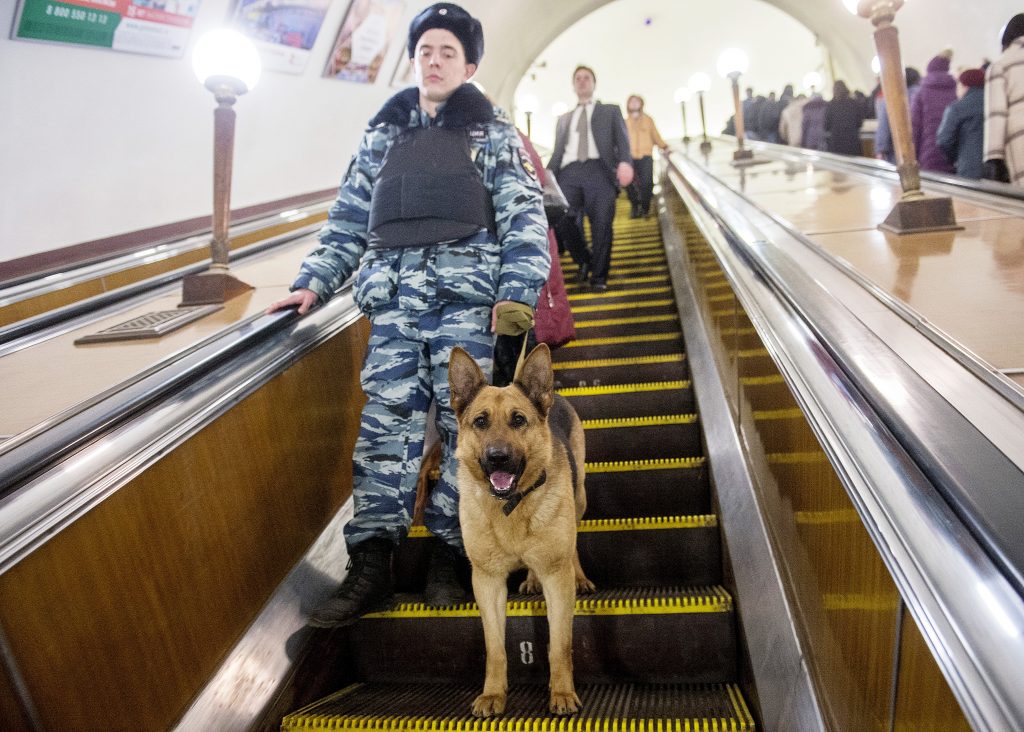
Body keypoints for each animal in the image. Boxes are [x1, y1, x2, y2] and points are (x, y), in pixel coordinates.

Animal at [446, 346, 593, 720]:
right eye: (480, 422)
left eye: (518, 420)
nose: (498, 458)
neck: (510, 505)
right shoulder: (487, 582)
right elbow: (495, 648)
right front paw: (493, 694)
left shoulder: (557, 579)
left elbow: (560, 645)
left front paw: (562, 692)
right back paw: (530, 579)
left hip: (579, 497)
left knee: (574, 543)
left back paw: (580, 576)